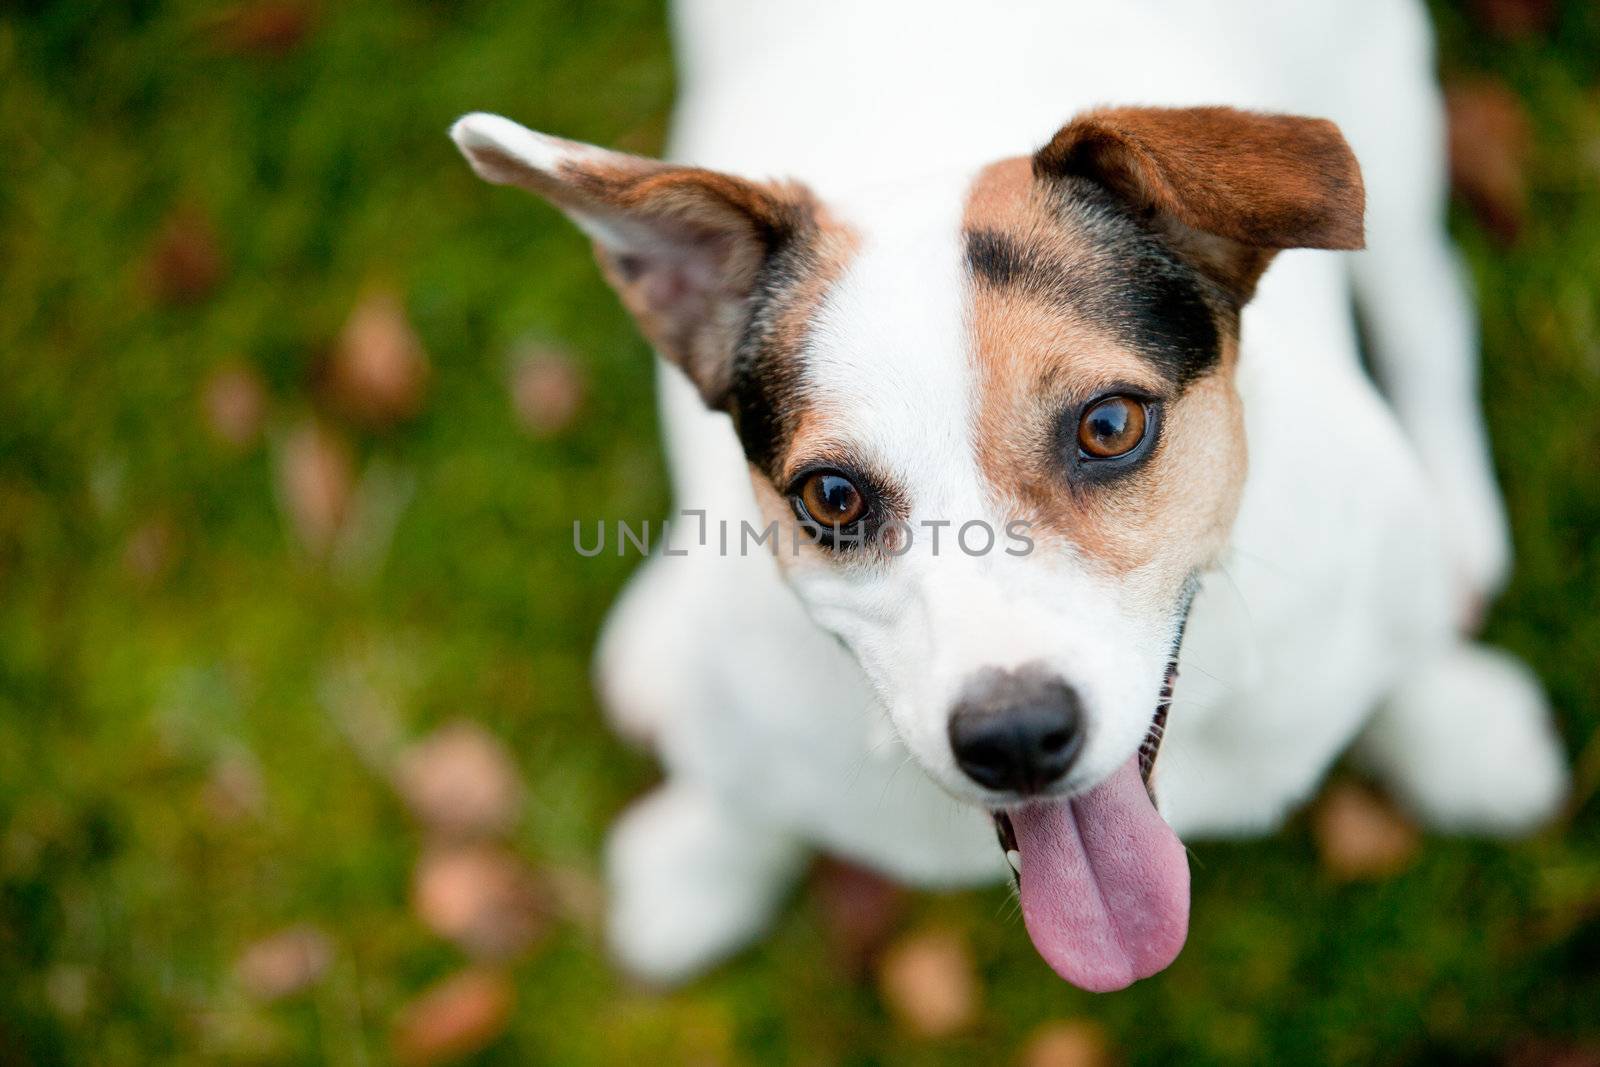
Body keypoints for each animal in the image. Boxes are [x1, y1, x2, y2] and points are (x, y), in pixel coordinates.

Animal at [448, 0, 1561, 991]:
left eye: (1109, 426)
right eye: (833, 496)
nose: (1018, 736)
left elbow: (1406, 655)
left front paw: (1455, 732)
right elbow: (741, 789)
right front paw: (703, 860)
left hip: (1390, 131)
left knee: (1431, 313)